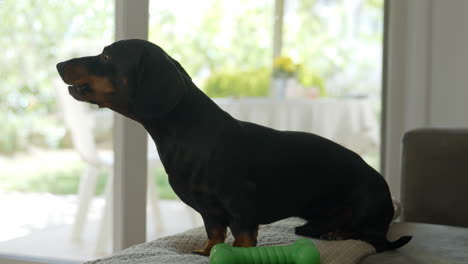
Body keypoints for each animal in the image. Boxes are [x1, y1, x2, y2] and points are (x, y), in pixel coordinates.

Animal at [56, 39, 412, 256]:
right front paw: (205, 253)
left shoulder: (240, 207)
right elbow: (213, 237)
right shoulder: (210, 212)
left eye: (106, 56)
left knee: (373, 238)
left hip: (367, 214)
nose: (59, 65)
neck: (188, 135)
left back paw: (341, 235)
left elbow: (241, 239)